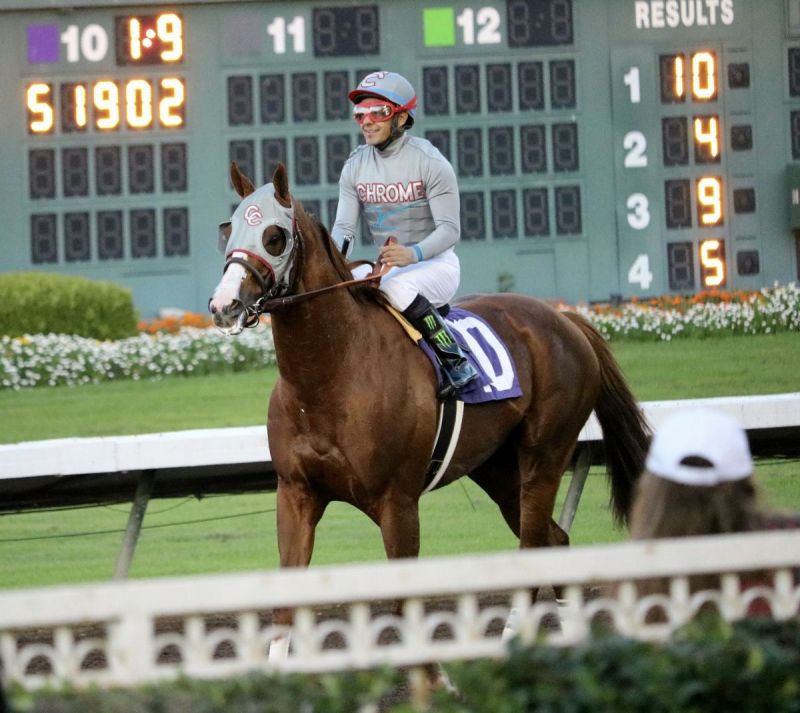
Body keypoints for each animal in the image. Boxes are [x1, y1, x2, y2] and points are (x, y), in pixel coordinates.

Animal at [209, 162, 650, 628]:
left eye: (274, 236)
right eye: (229, 228)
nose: (225, 305)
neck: (327, 377)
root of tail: (566, 319)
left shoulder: (398, 503)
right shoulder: (296, 493)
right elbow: (285, 608)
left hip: (545, 454)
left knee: (534, 546)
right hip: (496, 466)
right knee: (556, 539)